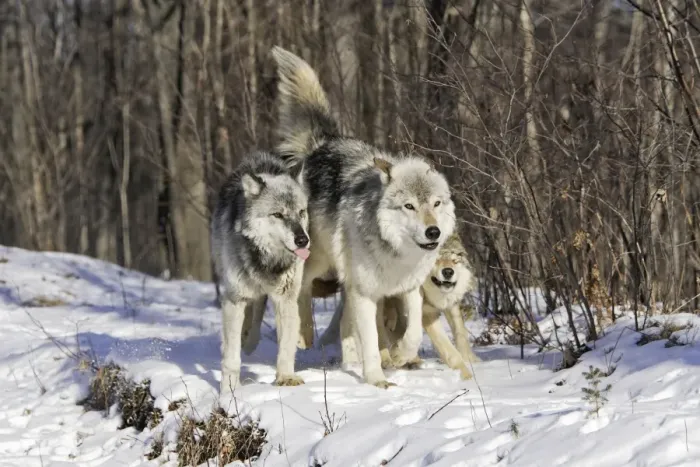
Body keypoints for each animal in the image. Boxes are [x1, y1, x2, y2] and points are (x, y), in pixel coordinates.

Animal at [211, 150, 310, 394]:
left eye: (301, 212)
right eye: (278, 215)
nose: (302, 240)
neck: (267, 261)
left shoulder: (286, 299)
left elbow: (286, 346)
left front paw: (286, 377)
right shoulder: (234, 299)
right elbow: (231, 357)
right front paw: (229, 391)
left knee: (257, 311)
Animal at [270, 46, 456, 388]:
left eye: (436, 204)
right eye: (409, 206)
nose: (433, 232)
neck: (396, 254)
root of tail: (325, 143)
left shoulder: (408, 289)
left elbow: (412, 332)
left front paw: (400, 357)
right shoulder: (365, 294)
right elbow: (369, 340)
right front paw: (377, 379)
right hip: (318, 258)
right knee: (302, 291)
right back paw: (304, 335)